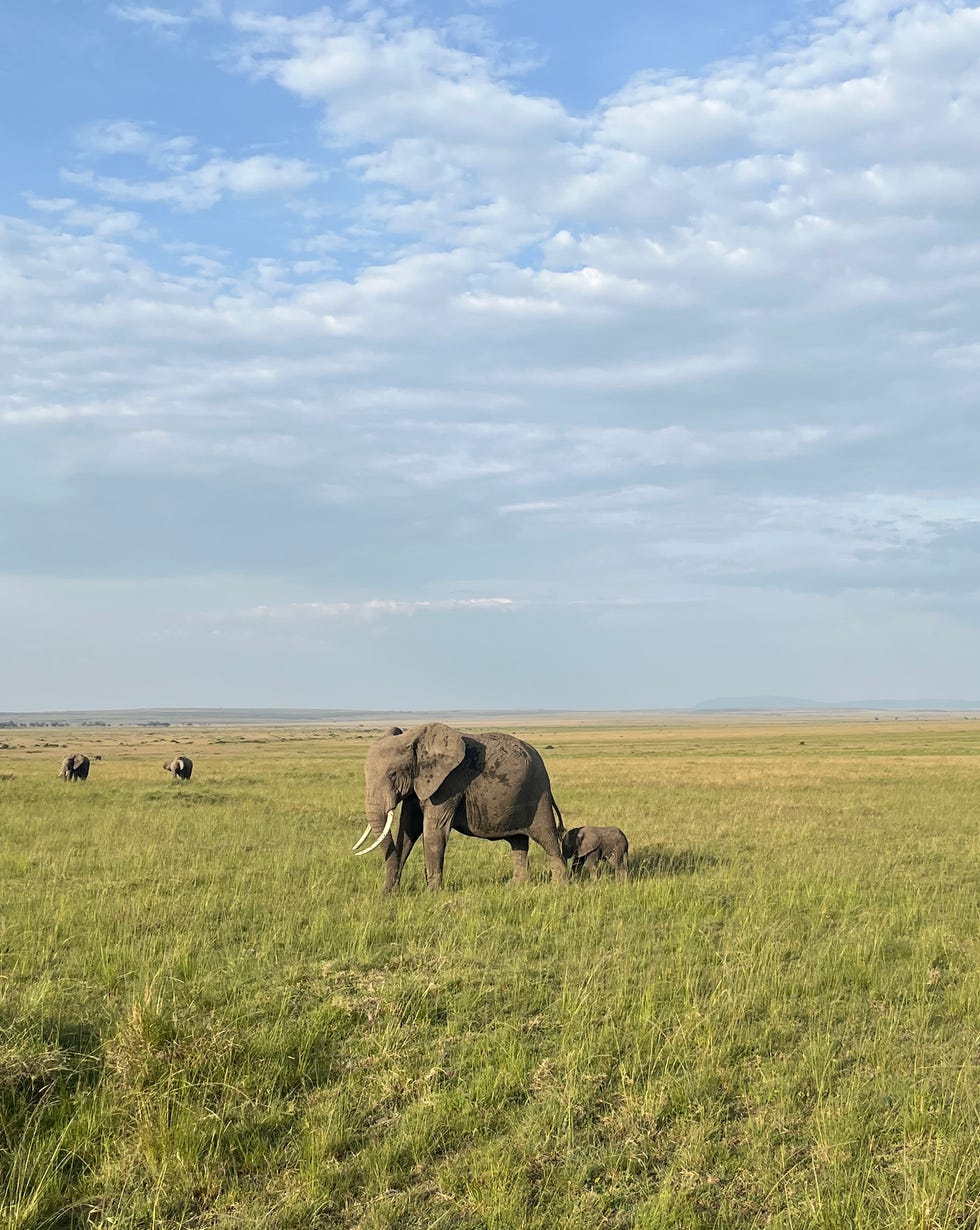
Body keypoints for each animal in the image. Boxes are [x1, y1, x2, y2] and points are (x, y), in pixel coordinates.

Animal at [354, 722, 569, 892]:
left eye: (393, 774)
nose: (393, 892)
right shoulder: (419, 785)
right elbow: (408, 829)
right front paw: (388, 893)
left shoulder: (449, 783)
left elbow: (434, 831)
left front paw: (431, 894)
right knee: (518, 841)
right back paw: (515, 886)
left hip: (538, 792)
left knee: (547, 837)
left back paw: (559, 887)